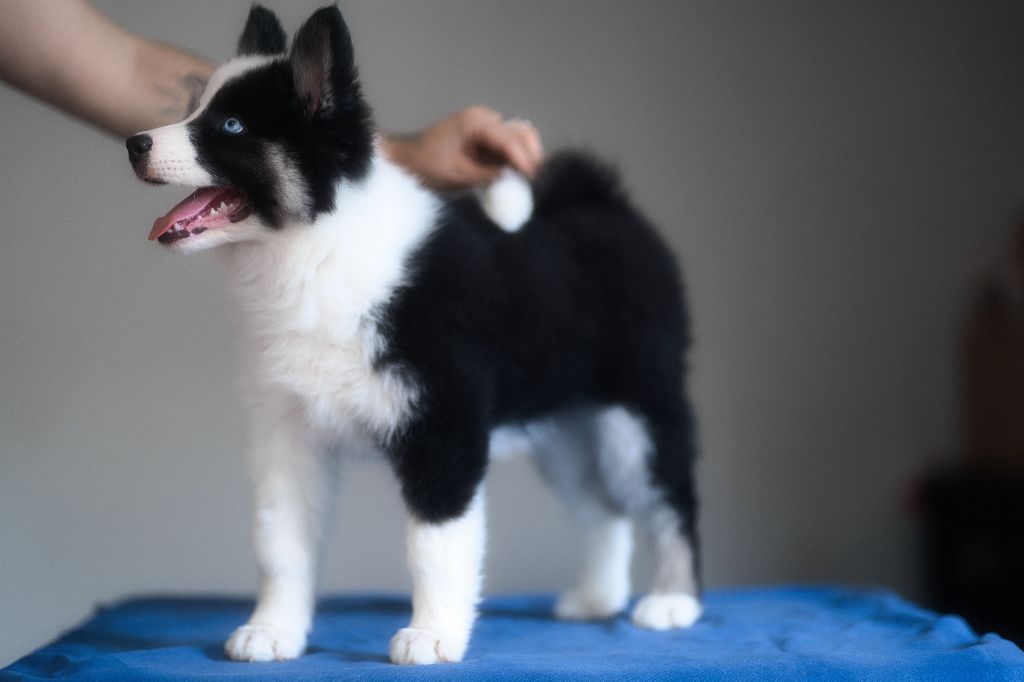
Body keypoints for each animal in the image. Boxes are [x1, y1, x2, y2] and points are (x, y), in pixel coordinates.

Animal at [126, 5, 701, 665]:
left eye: (232, 125)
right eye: (197, 109)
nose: (134, 143)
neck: (315, 250)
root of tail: (609, 203)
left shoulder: (442, 427)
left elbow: (435, 546)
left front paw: (432, 635)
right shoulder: (285, 439)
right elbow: (280, 543)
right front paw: (273, 630)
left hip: (639, 405)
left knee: (668, 498)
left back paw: (673, 602)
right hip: (565, 423)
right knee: (601, 510)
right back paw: (596, 600)